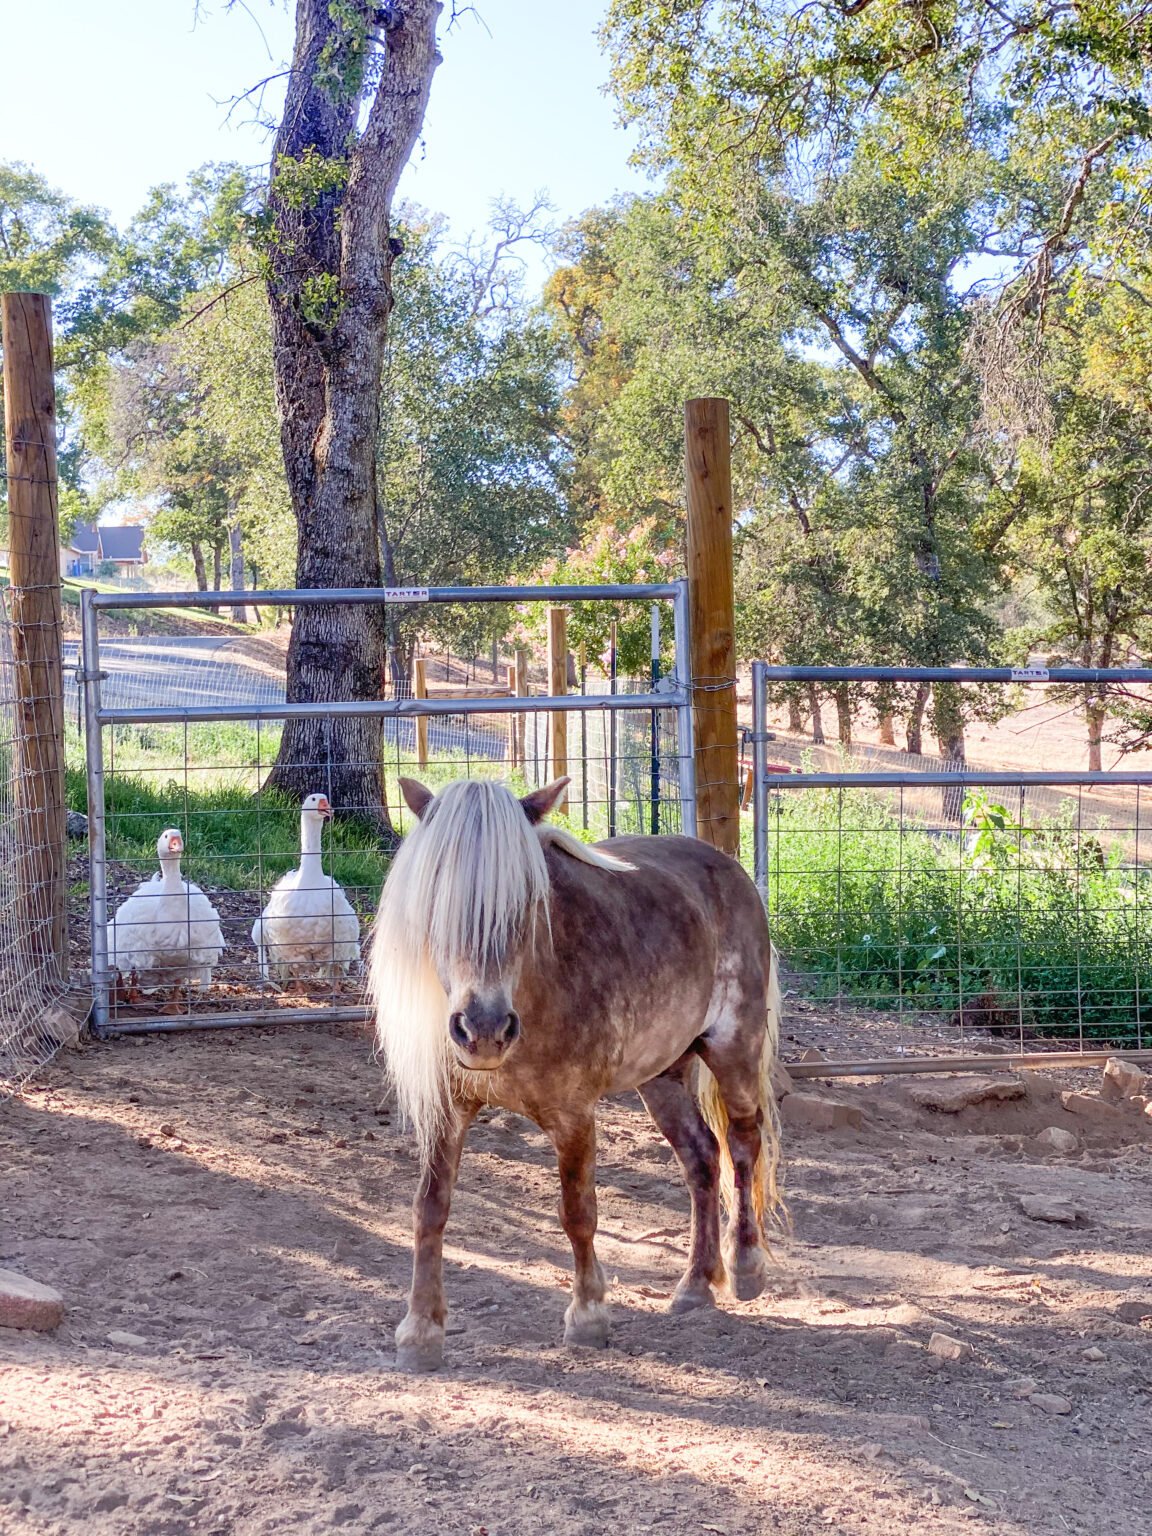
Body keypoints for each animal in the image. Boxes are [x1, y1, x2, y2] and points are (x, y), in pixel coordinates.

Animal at [369, 774, 783, 1371]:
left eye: (526, 899)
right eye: (438, 897)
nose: (484, 1029)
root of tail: (727, 868)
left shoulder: (574, 1116)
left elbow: (578, 1213)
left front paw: (588, 1316)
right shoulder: (445, 1113)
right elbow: (430, 1209)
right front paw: (421, 1331)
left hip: (734, 1050)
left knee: (743, 1143)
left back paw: (746, 1267)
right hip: (661, 1076)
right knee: (702, 1157)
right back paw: (696, 1285)